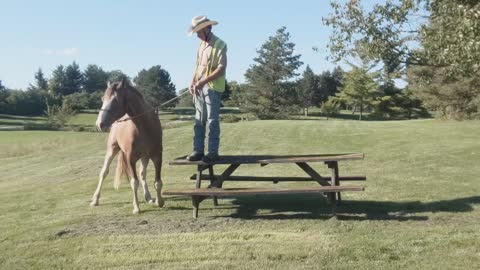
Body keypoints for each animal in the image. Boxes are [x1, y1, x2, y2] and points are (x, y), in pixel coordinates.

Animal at [91, 77, 165, 213]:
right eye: (102, 98)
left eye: (115, 99)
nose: (99, 124)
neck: (145, 126)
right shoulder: (130, 158)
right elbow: (134, 182)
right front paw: (136, 207)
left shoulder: (157, 156)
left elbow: (157, 182)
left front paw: (159, 201)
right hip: (112, 149)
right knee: (104, 172)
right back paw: (95, 199)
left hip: (145, 157)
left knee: (142, 174)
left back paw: (148, 197)